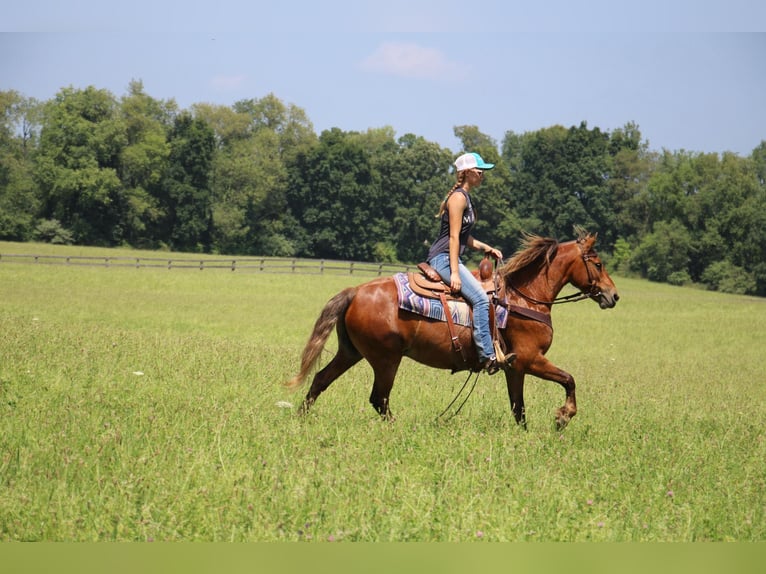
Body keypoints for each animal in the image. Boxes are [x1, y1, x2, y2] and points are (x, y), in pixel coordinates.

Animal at [284, 230, 620, 432]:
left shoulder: (515, 368)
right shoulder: (530, 359)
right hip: (386, 359)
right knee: (379, 399)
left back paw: (299, 419)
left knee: (321, 380)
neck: (525, 297)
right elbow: (569, 379)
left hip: (351, 352)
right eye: (598, 264)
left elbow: (518, 408)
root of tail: (355, 291)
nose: (613, 295)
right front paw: (563, 416)